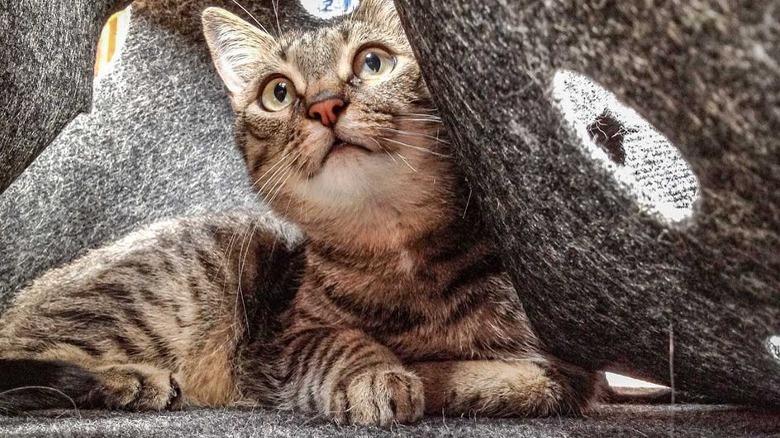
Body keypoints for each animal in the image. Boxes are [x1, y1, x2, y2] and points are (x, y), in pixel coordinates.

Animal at [0, 0, 596, 424]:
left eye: (373, 62)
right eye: (278, 92)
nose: (325, 105)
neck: (395, 247)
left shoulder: (566, 365)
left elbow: (540, 383)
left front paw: (430, 372)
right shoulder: (277, 342)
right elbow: (337, 340)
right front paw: (380, 372)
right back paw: (127, 379)